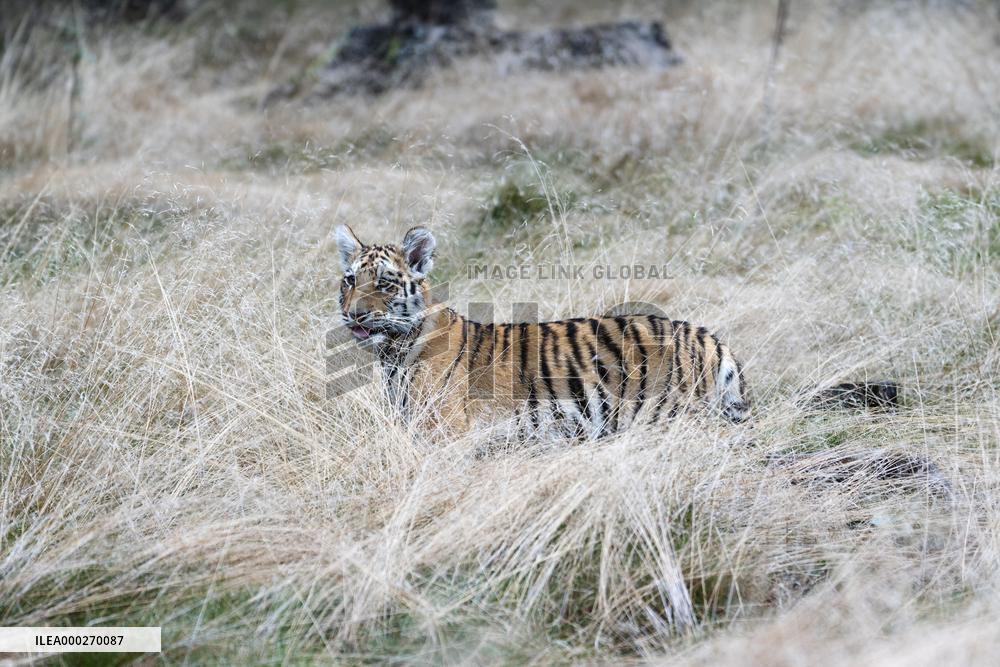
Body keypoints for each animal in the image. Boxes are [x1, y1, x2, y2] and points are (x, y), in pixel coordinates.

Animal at [335, 225, 750, 437]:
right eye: (350, 280)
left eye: (384, 283)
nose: (355, 316)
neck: (392, 352)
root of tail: (705, 335)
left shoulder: (445, 435)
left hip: (667, 419)